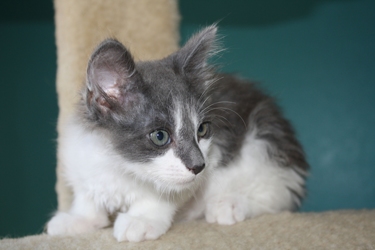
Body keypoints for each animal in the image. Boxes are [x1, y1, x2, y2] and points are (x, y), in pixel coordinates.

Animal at [47, 24, 310, 242]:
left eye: (202, 130)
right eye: (160, 136)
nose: (198, 165)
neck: (119, 164)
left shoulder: (213, 156)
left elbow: (167, 194)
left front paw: (141, 219)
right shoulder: (79, 156)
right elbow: (86, 196)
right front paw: (79, 218)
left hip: (263, 143)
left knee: (279, 194)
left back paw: (229, 204)